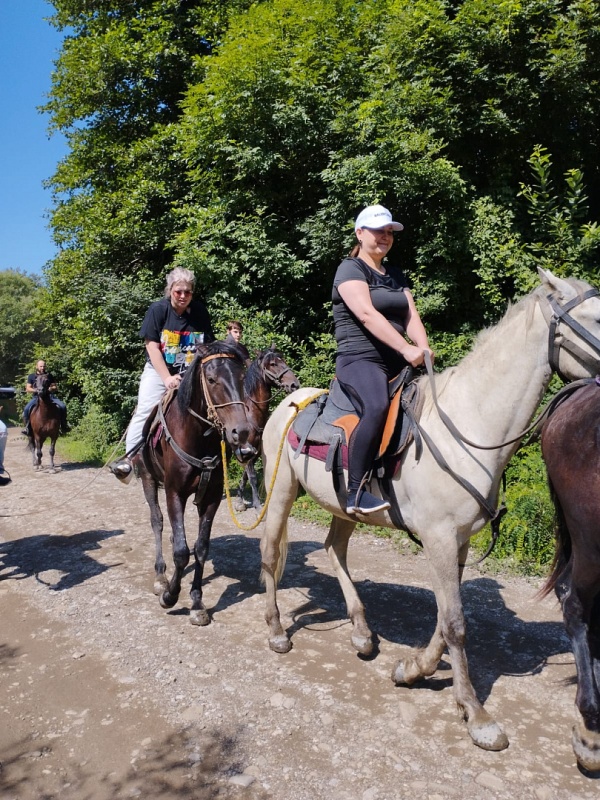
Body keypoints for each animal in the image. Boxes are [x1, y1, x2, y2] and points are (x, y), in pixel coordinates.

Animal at [136, 340, 255, 628]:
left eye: (242, 378)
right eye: (211, 380)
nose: (242, 433)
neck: (197, 439)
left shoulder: (210, 499)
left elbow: (200, 549)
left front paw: (197, 603)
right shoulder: (174, 493)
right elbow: (181, 551)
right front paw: (170, 595)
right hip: (148, 479)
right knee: (157, 522)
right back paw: (160, 577)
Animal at [237, 342, 298, 506]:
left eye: (283, 360)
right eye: (272, 364)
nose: (294, 384)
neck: (250, 411)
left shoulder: (256, 449)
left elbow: (246, 474)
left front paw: (240, 498)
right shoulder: (245, 447)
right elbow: (252, 476)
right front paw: (257, 504)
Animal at [258, 268, 600, 752]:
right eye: (595, 317)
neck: (470, 425)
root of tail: (294, 401)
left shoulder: (458, 541)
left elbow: (444, 615)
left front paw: (414, 669)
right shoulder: (438, 537)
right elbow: (455, 622)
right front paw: (476, 714)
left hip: (343, 506)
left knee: (334, 549)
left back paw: (361, 631)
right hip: (282, 492)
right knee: (271, 553)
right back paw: (275, 631)